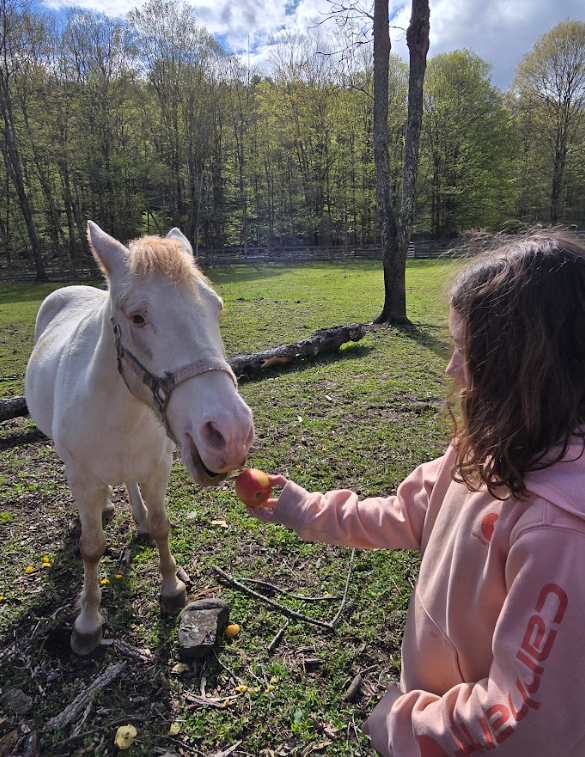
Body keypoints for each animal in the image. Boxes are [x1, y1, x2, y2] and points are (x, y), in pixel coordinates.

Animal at [24, 222, 255, 655]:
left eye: (216, 307)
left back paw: (139, 517)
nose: (231, 434)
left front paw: (171, 588)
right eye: (137, 317)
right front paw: (88, 622)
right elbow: (91, 548)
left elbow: (163, 526)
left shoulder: (157, 467)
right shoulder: (82, 478)